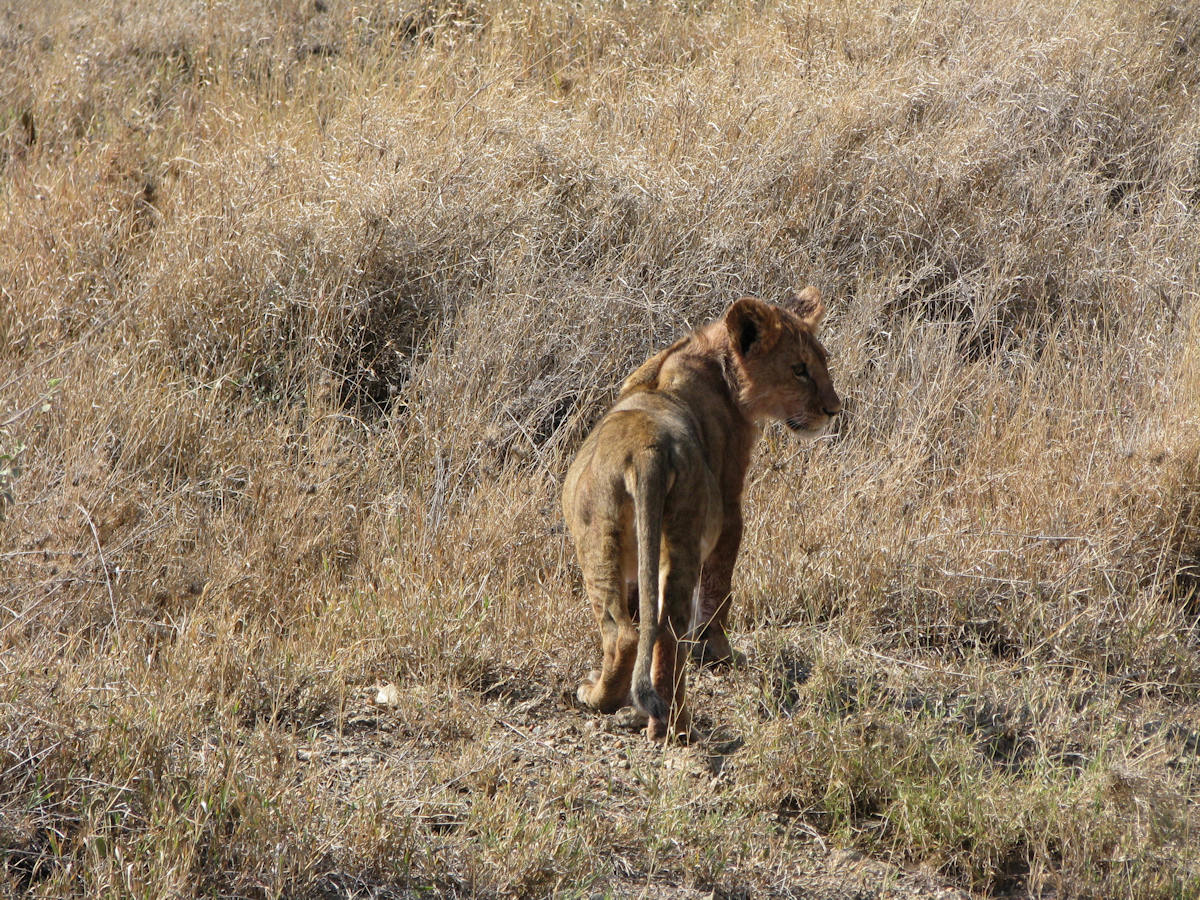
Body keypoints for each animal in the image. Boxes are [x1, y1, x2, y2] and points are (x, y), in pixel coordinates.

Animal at [562, 287, 841, 741]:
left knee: (639, 630)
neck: (711, 361)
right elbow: (719, 587)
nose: (834, 409)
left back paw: (639, 711)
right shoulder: (730, 504)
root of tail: (646, 451)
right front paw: (718, 654)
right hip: (669, 534)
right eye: (800, 369)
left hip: (611, 538)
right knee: (653, 628)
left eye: (822, 363)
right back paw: (660, 720)